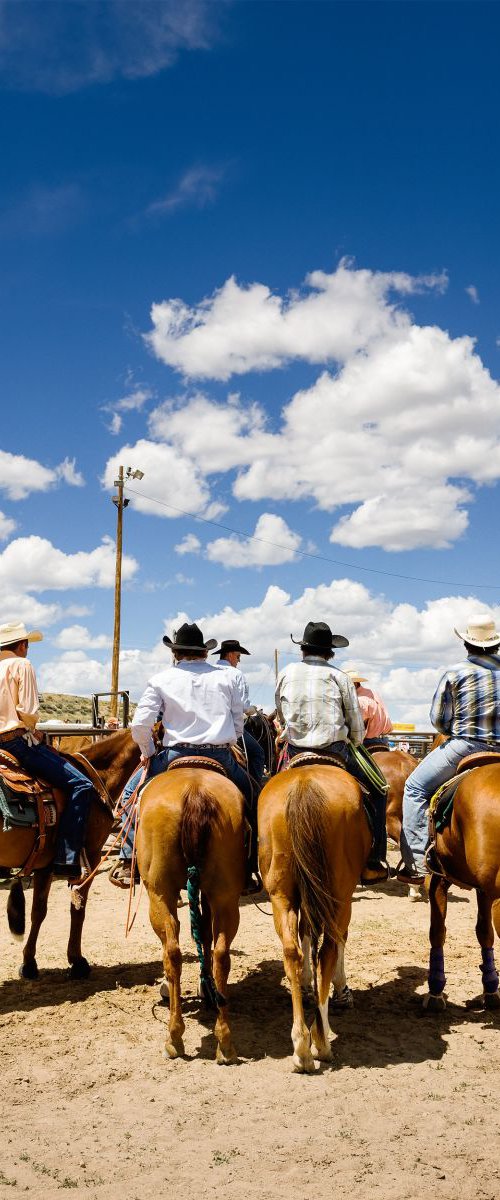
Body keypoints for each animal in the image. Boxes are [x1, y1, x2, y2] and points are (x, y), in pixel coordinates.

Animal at [2, 729, 138, 974]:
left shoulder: (44, 864)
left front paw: (29, 962)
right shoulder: (92, 855)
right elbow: (79, 906)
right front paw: (77, 960)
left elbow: (38, 911)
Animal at [136, 768, 245, 1060]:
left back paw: (174, 1037)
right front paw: (205, 987)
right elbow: (205, 933)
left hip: (159, 893)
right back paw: (224, 1041)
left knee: (171, 952)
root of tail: (195, 792)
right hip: (225, 895)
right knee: (221, 954)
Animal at [256, 763, 369, 1075]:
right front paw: (342, 991)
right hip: (340, 896)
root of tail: (303, 786)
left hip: (280, 894)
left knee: (291, 952)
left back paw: (301, 1046)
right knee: (329, 948)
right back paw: (321, 1041)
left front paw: (307, 985)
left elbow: (306, 935)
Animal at [422, 758, 498, 1012]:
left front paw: (435, 991)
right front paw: (491, 990)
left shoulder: (438, 877)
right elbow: (484, 932)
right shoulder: (484, 891)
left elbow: (437, 931)